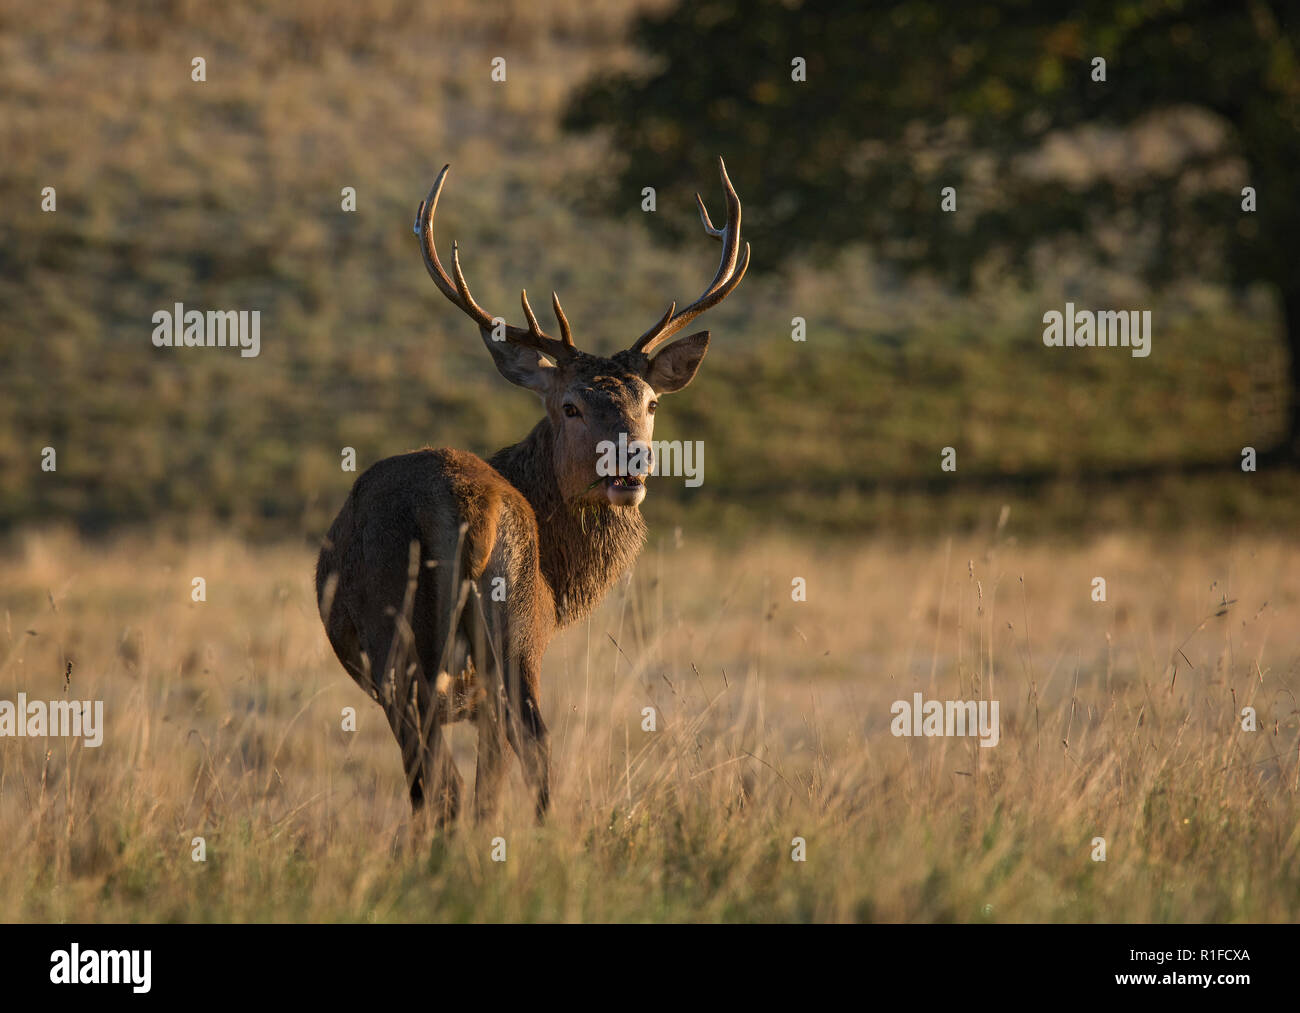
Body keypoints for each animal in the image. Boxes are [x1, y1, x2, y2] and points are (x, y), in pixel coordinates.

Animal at [315, 157, 748, 827]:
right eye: (570, 405)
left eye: (650, 402)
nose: (632, 462)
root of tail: (464, 507)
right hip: (506, 633)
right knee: (526, 752)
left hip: (426, 640)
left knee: (450, 783)